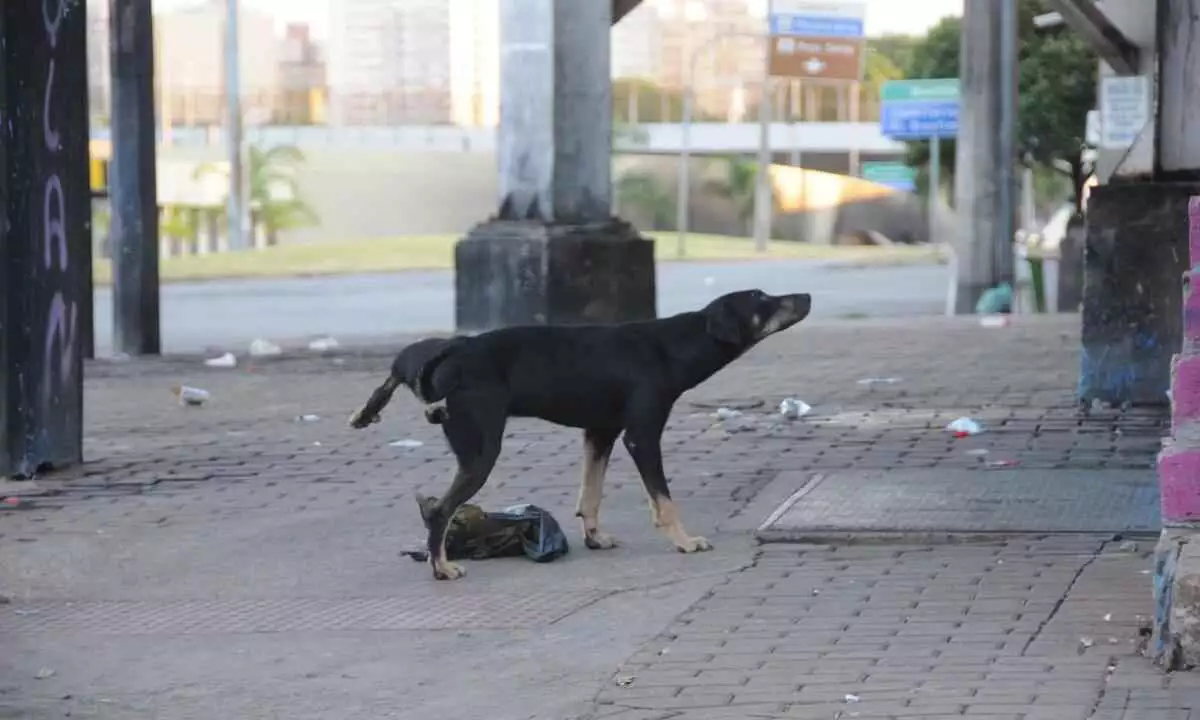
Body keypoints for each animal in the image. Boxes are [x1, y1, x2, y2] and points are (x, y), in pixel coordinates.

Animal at [350, 288, 816, 578]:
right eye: (762, 299)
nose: (807, 297)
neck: (675, 344)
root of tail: (457, 353)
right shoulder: (641, 435)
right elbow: (664, 501)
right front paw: (684, 541)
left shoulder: (600, 432)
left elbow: (590, 495)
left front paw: (593, 537)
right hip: (480, 451)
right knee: (439, 511)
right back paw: (442, 567)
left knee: (405, 360)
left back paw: (364, 411)